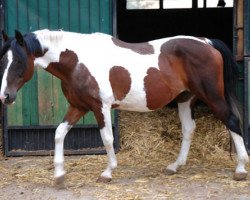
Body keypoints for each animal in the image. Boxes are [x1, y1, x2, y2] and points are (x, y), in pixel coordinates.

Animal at [0, 29, 249, 184]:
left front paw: (107, 173)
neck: (78, 61)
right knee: (189, 129)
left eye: (19, 61)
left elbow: (107, 138)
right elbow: (59, 133)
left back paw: (240, 169)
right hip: (185, 99)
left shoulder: (100, 107)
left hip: (212, 96)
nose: (6, 96)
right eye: (3, 61)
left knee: (232, 121)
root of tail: (206, 42)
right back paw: (174, 166)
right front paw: (59, 175)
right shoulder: (78, 106)